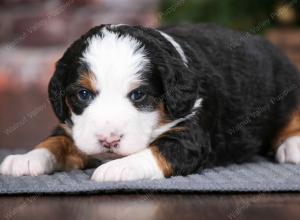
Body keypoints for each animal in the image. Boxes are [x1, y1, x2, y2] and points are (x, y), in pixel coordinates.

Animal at [0, 24, 300, 182]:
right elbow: (56, 141)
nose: (108, 140)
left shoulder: (190, 135)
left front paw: (117, 168)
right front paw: (26, 159)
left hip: (285, 84)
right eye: (83, 94)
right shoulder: (73, 126)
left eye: (139, 95)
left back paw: (292, 145)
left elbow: (156, 151)